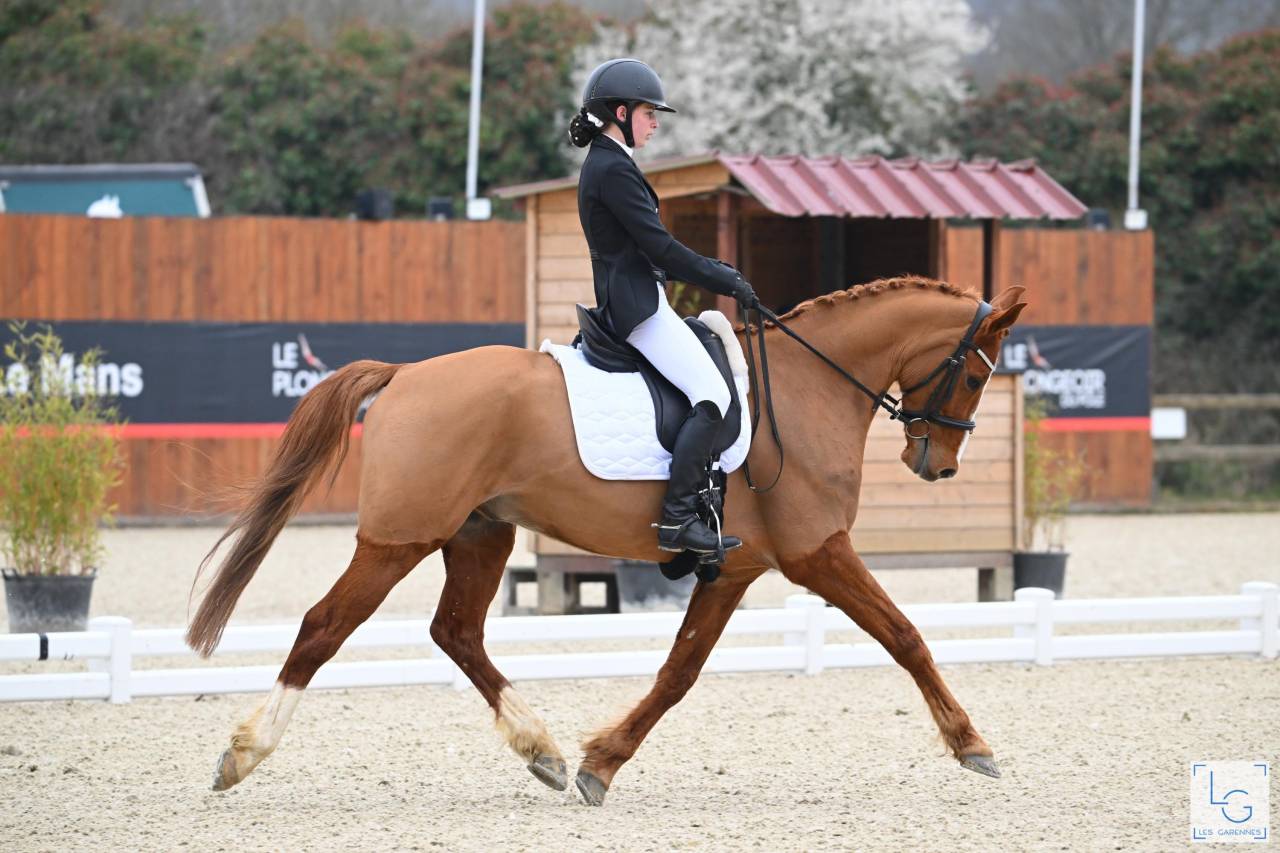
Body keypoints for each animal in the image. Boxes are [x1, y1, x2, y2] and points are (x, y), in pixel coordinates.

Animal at [186, 275, 1027, 805]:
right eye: (976, 375)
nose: (938, 464)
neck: (808, 385)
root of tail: (403, 375)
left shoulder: (736, 569)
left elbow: (679, 671)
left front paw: (599, 761)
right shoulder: (816, 551)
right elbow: (905, 635)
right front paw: (973, 744)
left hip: (480, 533)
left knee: (456, 631)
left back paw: (543, 751)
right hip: (399, 539)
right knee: (323, 627)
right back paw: (244, 753)